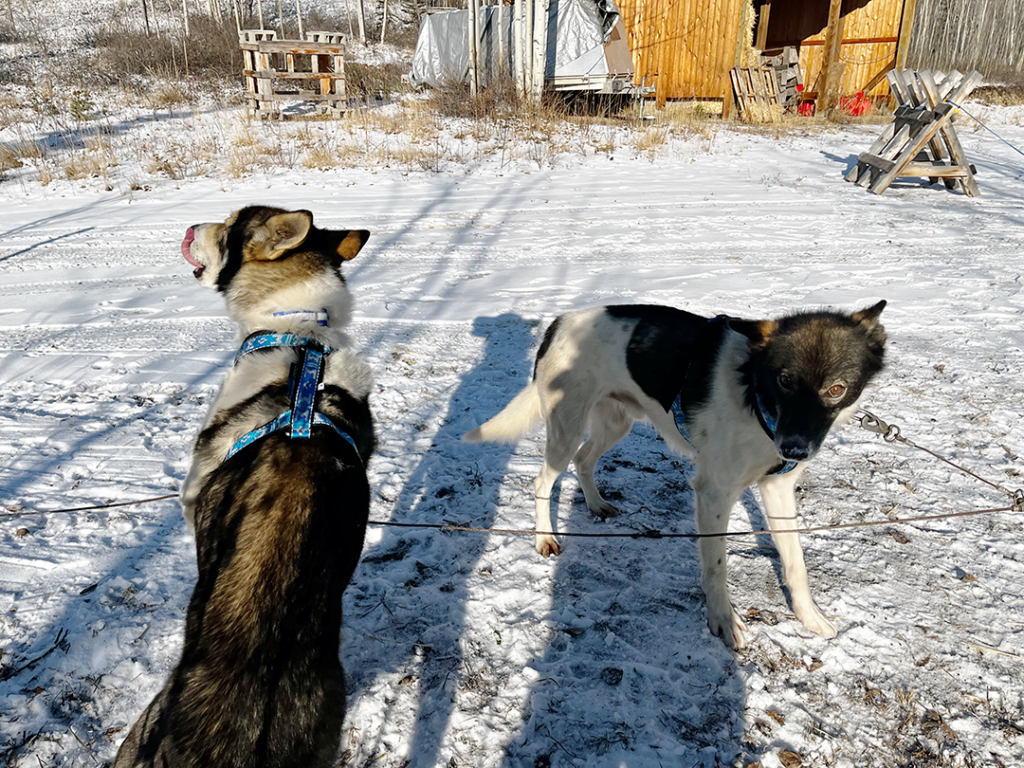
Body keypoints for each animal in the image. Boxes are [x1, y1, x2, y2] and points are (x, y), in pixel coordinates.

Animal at [466, 303, 888, 651]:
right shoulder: (714, 493)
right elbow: (716, 568)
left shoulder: (777, 486)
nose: (795, 450)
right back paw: (544, 538)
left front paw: (809, 617)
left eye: (836, 389)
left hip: (614, 422)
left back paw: (596, 503)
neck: (753, 393)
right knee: (544, 480)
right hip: (566, 429)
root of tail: (560, 321)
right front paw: (722, 621)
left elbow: (795, 563)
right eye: (784, 381)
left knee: (584, 460)